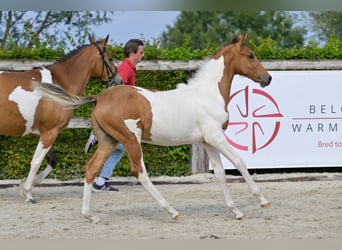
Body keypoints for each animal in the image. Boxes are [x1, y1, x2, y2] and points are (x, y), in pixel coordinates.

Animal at [0, 34, 122, 203]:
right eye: (110, 58)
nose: (119, 80)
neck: (58, 84)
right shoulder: (50, 133)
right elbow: (36, 162)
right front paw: (28, 193)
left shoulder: (45, 133)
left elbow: (52, 161)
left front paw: (24, 186)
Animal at [35, 33, 272, 223]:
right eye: (250, 55)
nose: (267, 78)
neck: (207, 94)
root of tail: (100, 97)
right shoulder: (216, 137)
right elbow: (239, 162)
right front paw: (262, 200)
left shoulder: (207, 141)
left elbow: (221, 173)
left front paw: (236, 211)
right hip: (130, 139)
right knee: (140, 172)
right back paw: (172, 211)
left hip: (108, 141)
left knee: (92, 168)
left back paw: (90, 215)